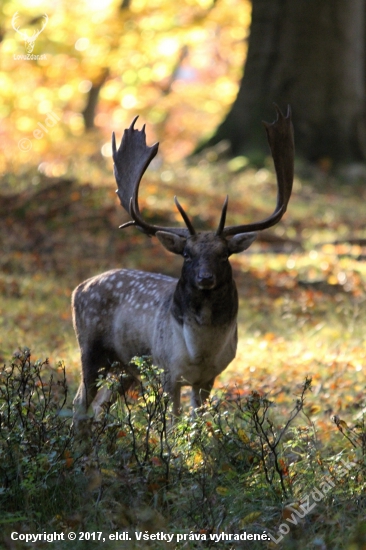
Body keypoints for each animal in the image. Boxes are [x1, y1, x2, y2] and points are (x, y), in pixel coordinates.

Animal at [71, 104, 294, 432]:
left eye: (224, 254)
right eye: (187, 254)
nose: (205, 278)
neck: (200, 350)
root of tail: (78, 288)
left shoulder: (209, 377)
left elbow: (198, 423)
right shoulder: (168, 369)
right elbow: (172, 424)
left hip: (125, 367)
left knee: (99, 404)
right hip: (91, 348)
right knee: (80, 402)